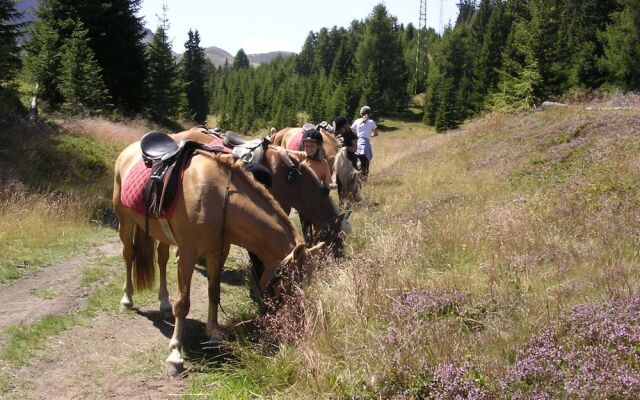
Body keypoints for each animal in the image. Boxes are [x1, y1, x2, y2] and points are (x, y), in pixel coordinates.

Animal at [112, 140, 322, 376]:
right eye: (289, 283)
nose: (298, 325)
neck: (221, 201)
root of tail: (130, 149)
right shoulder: (187, 255)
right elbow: (183, 303)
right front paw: (175, 355)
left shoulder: (218, 253)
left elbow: (214, 292)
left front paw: (213, 334)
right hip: (125, 221)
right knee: (129, 255)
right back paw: (127, 299)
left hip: (162, 233)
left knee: (162, 258)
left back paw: (164, 303)